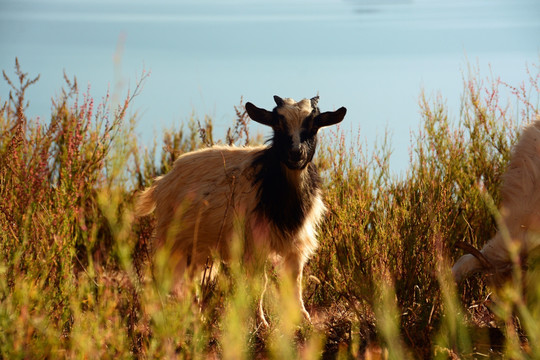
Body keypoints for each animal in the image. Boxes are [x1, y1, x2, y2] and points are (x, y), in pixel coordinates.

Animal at [135, 94, 346, 324]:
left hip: (197, 248)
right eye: (278, 124)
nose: (295, 153)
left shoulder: (297, 243)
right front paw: (261, 322)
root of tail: (163, 181)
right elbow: (261, 283)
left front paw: (303, 318)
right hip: (172, 241)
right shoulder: (256, 243)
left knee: (191, 282)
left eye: (314, 125)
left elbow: (295, 281)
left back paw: (195, 317)